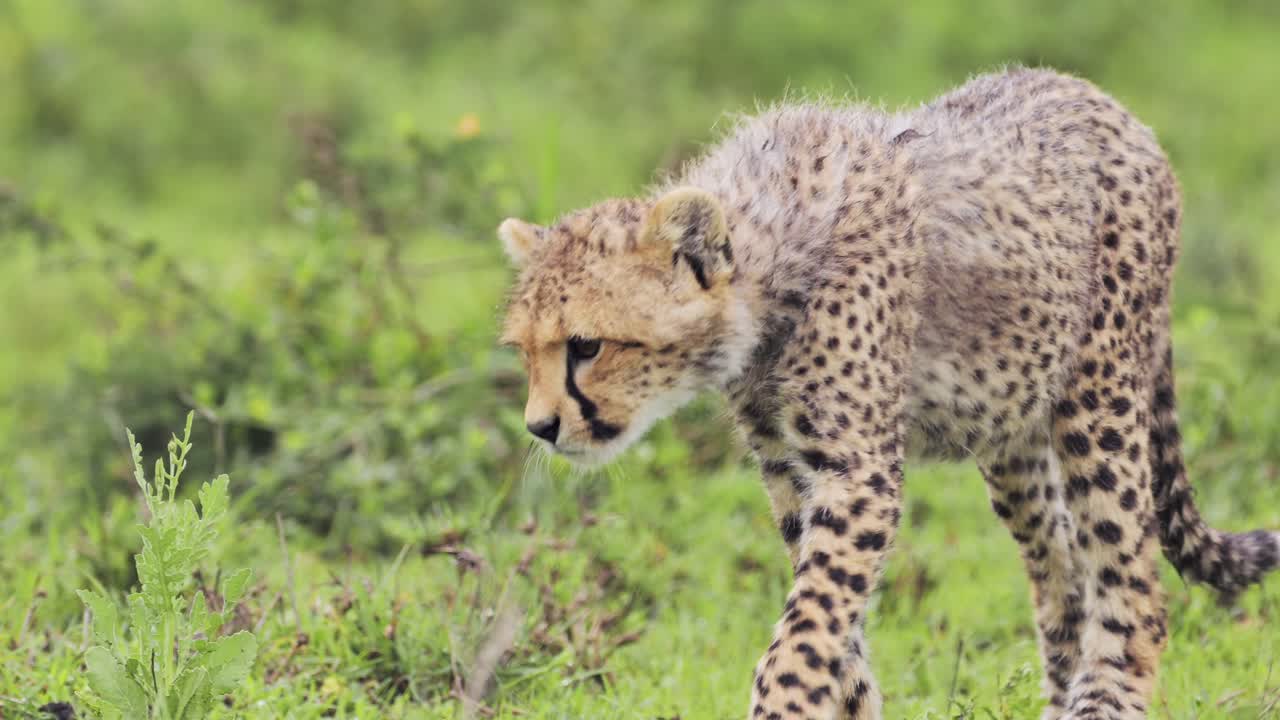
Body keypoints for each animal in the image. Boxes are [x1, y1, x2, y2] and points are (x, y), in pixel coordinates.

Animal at [495, 67, 1280, 720]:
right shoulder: (789, 467)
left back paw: (1106, 699)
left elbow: (809, 618)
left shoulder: (857, 470)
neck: (768, 267)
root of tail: (1095, 95)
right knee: (1060, 567)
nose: (540, 427)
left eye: (586, 346)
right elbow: (829, 613)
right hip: (1013, 432)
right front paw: (849, 703)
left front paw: (786, 702)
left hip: (1099, 396)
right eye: (525, 351)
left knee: (1131, 574)